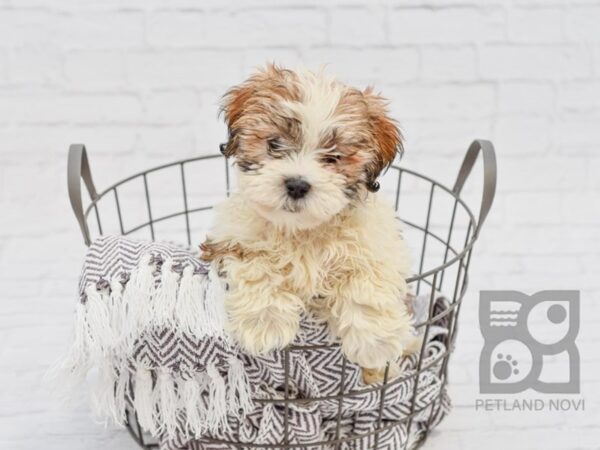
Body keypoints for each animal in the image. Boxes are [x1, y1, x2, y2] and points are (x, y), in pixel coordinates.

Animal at [202, 65, 412, 378]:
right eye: (274, 144)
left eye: (333, 158)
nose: (297, 185)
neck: (301, 230)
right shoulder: (231, 239)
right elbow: (256, 264)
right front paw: (265, 323)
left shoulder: (378, 243)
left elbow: (367, 277)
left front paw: (375, 343)